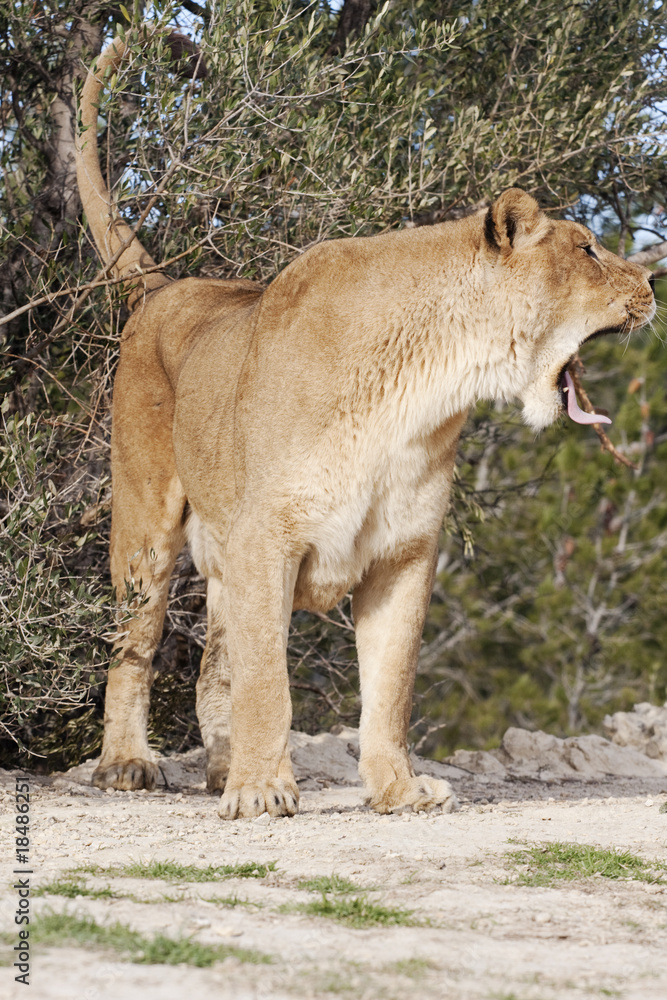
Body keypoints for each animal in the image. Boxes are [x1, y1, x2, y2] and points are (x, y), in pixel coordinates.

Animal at [75, 30, 655, 819]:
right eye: (588, 250)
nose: (653, 282)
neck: (430, 385)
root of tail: (171, 285)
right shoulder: (267, 537)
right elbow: (270, 680)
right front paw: (263, 791)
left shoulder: (403, 552)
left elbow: (389, 685)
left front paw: (397, 789)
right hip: (145, 530)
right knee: (133, 646)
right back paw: (129, 763)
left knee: (215, 664)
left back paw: (224, 768)